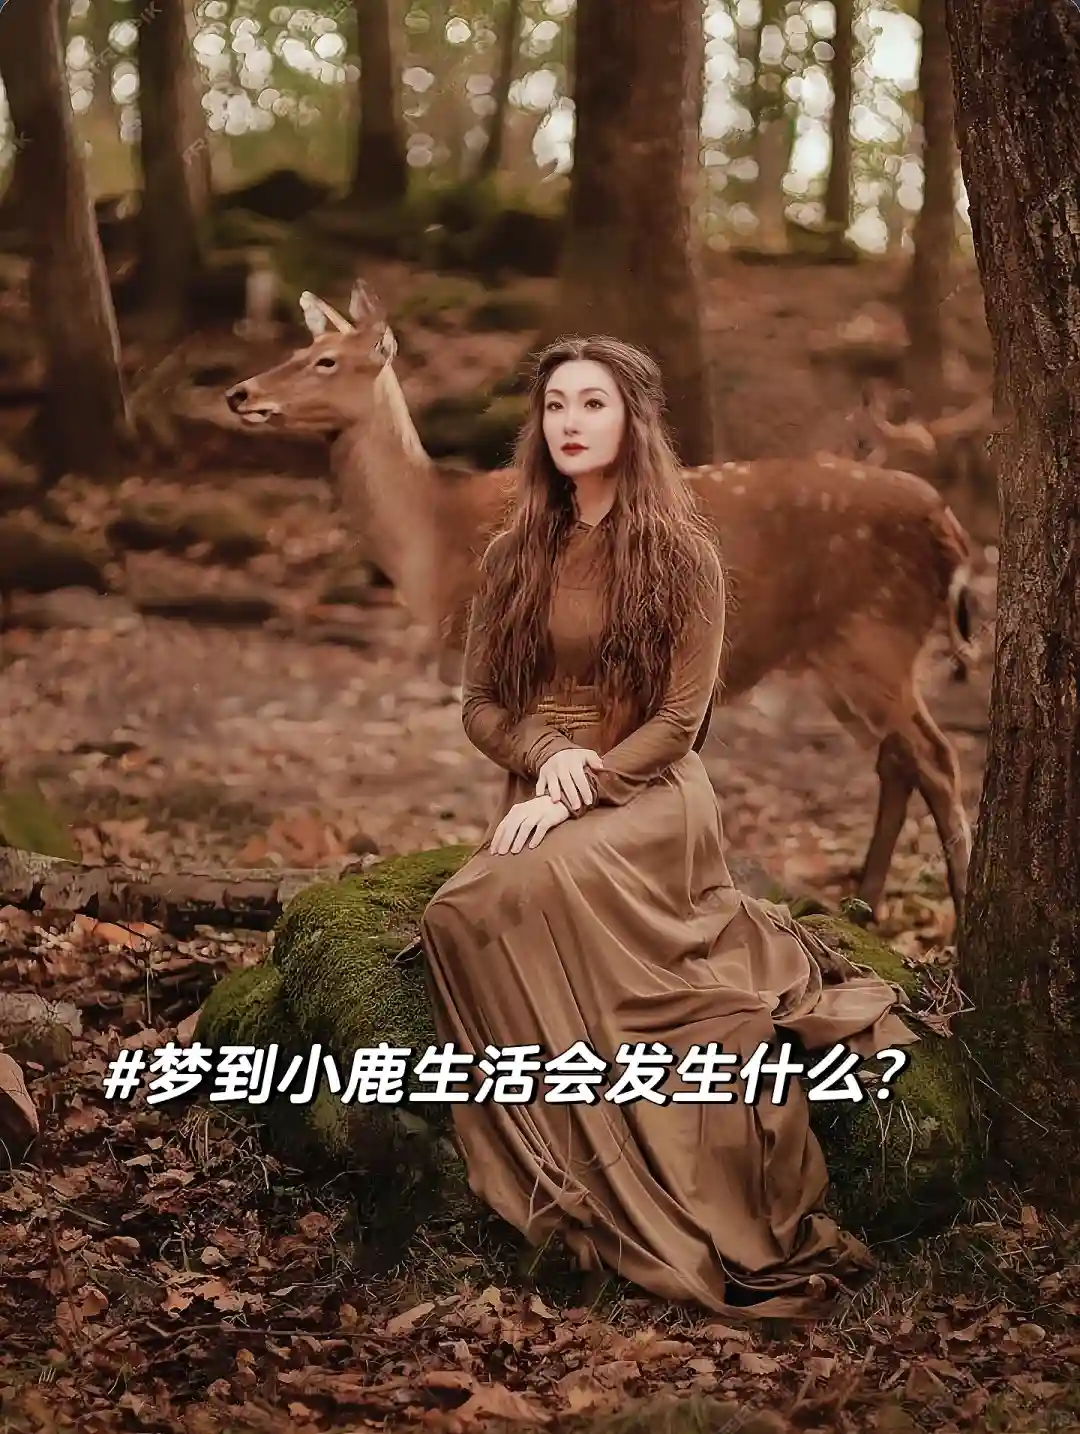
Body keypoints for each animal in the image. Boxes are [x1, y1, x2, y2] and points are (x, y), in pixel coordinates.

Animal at [224, 279, 976, 925]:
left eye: (324, 360)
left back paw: (959, 906)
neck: (432, 548)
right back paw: (865, 903)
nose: (238, 392)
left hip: (873, 635)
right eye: (297, 351)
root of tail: (952, 528)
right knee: (898, 760)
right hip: (841, 657)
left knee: (936, 757)